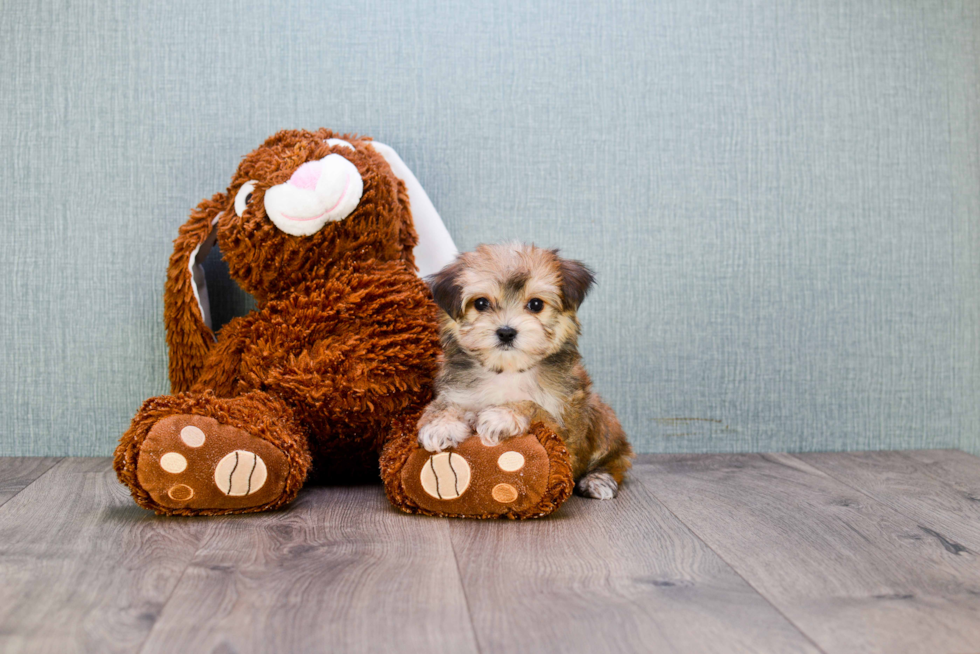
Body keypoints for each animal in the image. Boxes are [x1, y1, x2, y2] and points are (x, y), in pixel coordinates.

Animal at [416, 243, 632, 500]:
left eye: (536, 304)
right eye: (481, 303)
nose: (506, 332)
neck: (507, 370)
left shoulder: (565, 425)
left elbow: (534, 408)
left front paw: (503, 414)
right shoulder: (456, 391)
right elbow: (445, 405)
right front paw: (440, 425)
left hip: (601, 417)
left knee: (615, 459)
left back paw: (598, 479)